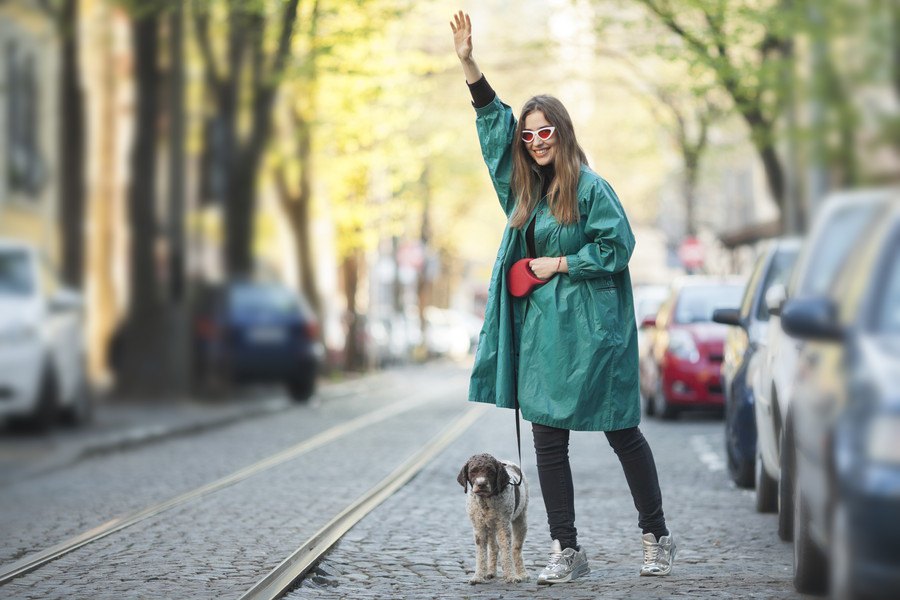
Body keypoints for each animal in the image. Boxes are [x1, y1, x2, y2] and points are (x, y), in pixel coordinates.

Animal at [458, 452, 528, 584]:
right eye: (473, 471)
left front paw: (511, 576)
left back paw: (522, 573)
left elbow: (506, 551)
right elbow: (481, 554)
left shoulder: (503, 526)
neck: (486, 501)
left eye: (491, 471)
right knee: (494, 548)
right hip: (490, 527)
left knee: (516, 549)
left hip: (521, 521)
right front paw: (478, 577)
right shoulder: (479, 527)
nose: (481, 484)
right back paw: (490, 572)